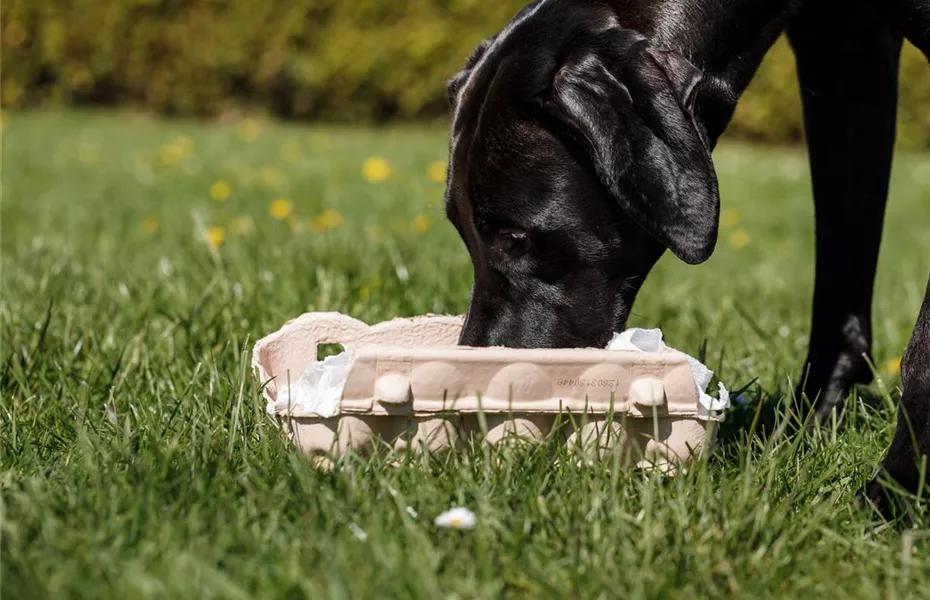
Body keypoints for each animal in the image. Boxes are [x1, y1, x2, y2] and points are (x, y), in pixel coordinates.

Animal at [444, 0, 928, 516]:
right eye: (462, 230)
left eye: (515, 235)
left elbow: (920, 354)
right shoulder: (844, 49)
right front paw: (801, 435)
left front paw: (893, 493)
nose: (478, 396)